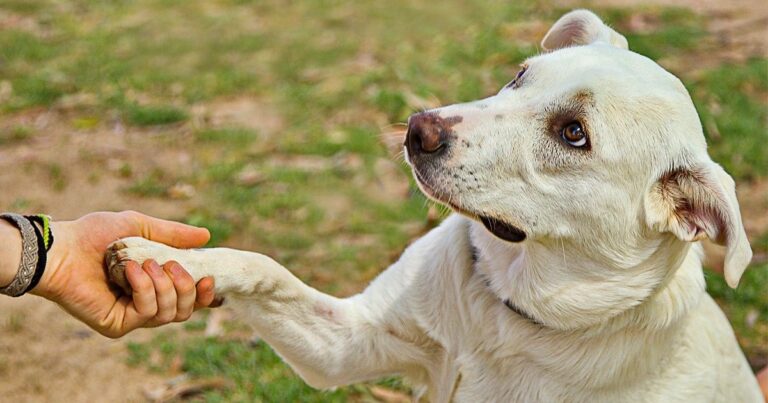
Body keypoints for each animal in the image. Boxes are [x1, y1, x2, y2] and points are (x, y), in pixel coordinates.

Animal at [106, 10, 760, 403]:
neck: (508, 313)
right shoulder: (347, 345)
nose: (418, 128)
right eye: (519, 76)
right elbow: (261, 267)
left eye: (574, 133)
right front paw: (163, 258)